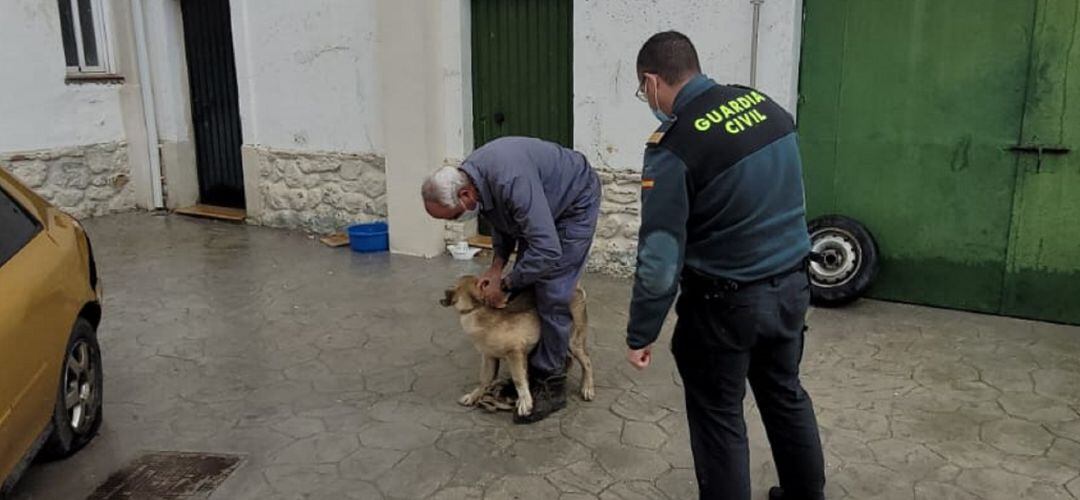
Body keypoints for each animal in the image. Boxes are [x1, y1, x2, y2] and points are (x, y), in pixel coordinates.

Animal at [440, 274, 600, 419]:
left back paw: (587, 387)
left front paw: (525, 402)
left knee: (587, 362)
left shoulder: (515, 353)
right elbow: (484, 380)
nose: (443, 294)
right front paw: (474, 396)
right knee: (568, 358)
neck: (476, 311)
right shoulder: (489, 357)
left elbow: (519, 380)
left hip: (573, 341)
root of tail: (576, 289)